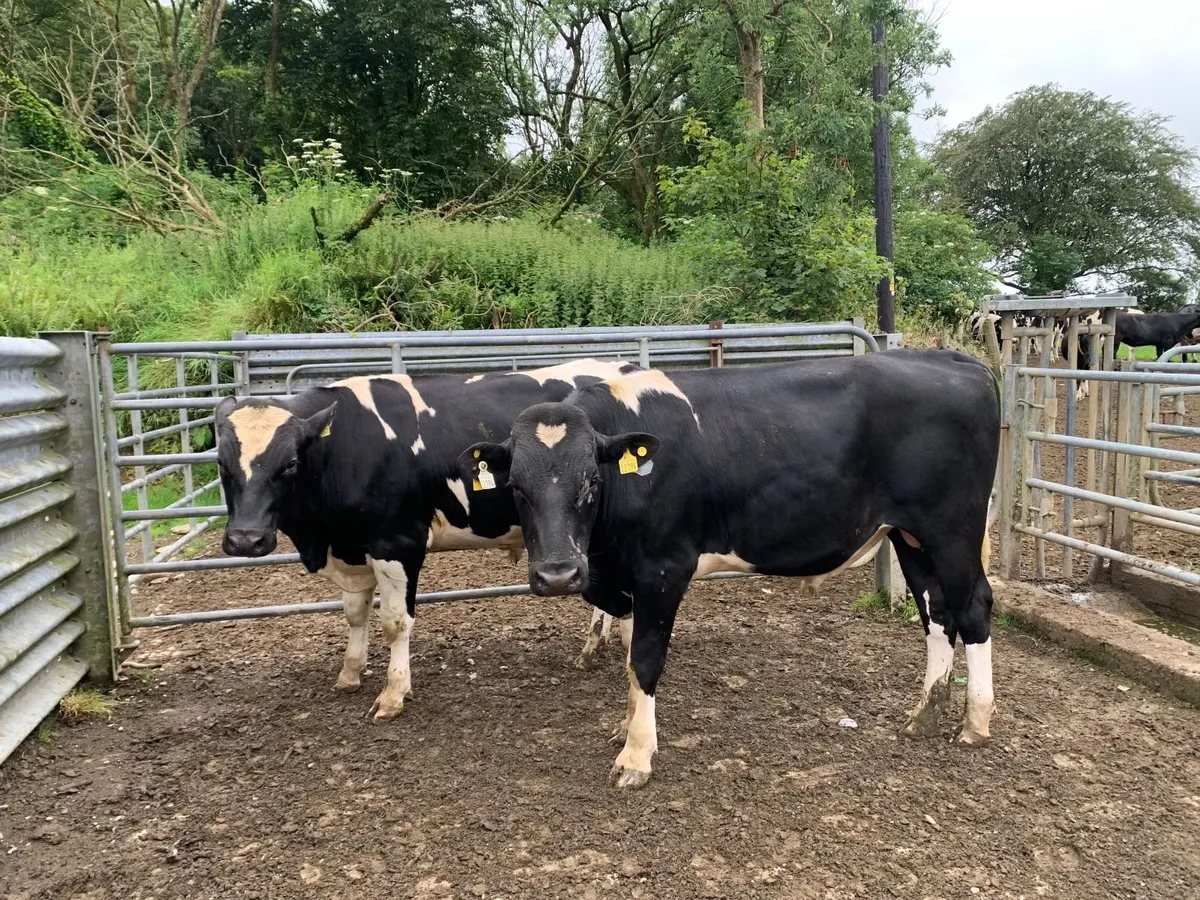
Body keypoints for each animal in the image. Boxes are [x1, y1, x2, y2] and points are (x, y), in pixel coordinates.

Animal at [214, 359, 639, 720]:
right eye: (221, 464)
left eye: (290, 464)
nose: (246, 539)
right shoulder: (354, 547)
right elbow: (355, 613)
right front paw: (350, 672)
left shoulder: (397, 544)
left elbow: (395, 622)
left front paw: (393, 693)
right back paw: (596, 645)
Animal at [460, 351, 1001, 788]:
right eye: (517, 487)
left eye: (592, 481)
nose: (558, 575)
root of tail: (950, 358)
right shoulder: (622, 579)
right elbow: (631, 655)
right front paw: (628, 725)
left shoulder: (663, 569)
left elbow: (645, 659)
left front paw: (636, 756)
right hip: (909, 536)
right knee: (937, 613)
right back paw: (924, 716)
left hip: (952, 529)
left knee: (973, 608)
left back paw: (975, 723)